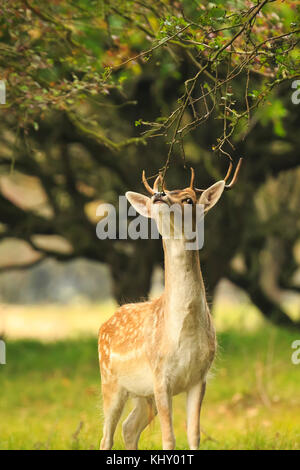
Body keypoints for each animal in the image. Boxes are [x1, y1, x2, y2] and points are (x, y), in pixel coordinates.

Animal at [97, 159, 243, 452]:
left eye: (188, 199)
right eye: (156, 199)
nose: (158, 194)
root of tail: (103, 326)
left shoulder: (199, 377)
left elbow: (194, 434)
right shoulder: (159, 375)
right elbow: (169, 438)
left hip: (141, 393)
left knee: (129, 428)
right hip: (110, 381)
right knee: (107, 435)